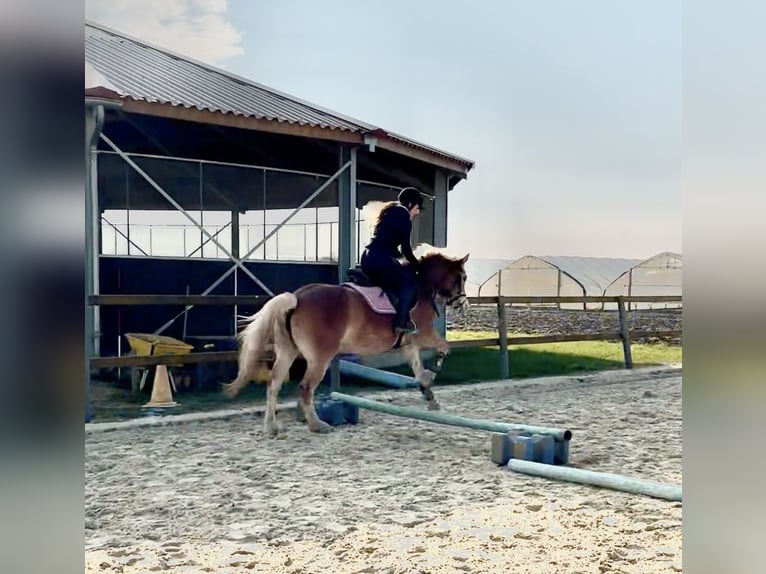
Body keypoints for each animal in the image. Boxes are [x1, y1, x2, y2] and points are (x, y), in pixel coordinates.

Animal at [222, 251, 472, 436]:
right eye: (461, 277)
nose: (462, 304)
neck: (422, 285)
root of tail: (296, 298)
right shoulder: (424, 334)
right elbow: (443, 348)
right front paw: (434, 375)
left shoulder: (409, 342)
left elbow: (418, 368)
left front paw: (429, 395)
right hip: (320, 358)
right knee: (305, 388)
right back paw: (317, 425)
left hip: (287, 351)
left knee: (273, 384)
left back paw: (271, 427)